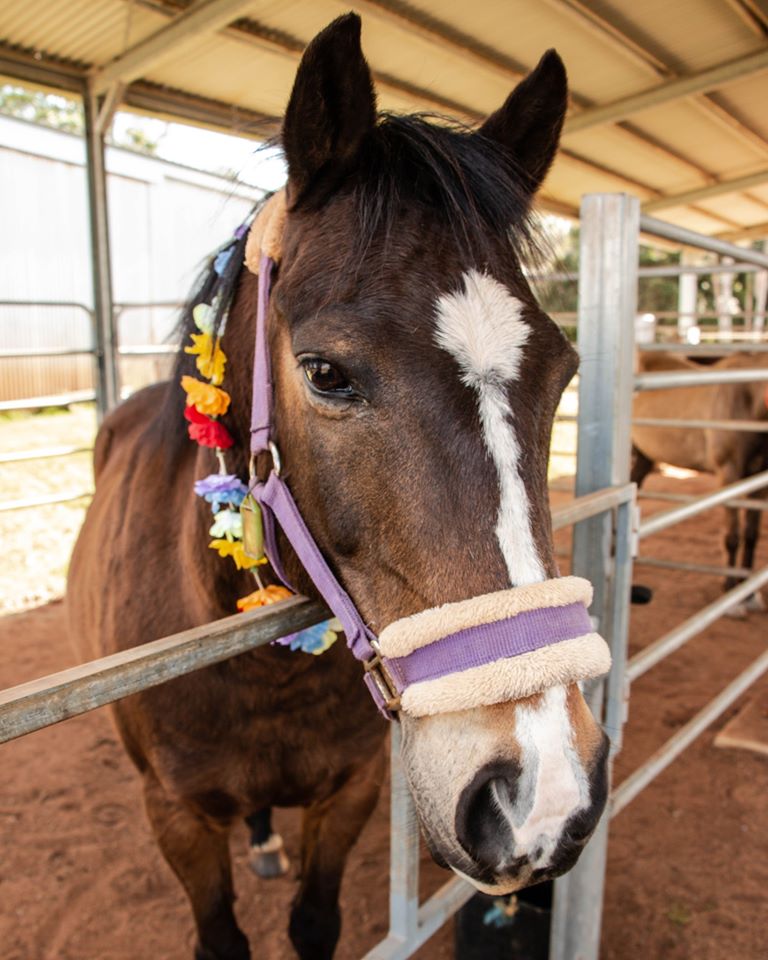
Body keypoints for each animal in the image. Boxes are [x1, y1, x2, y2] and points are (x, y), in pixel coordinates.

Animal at [69, 16, 612, 960]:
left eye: (564, 372)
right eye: (326, 373)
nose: (543, 796)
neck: (261, 678)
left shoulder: (351, 792)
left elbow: (314, 924)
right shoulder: (176, 818)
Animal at [632, 350, 764, 616]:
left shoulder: (759, 477)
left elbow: (751, 534)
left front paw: (749, 593)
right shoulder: (729, 473)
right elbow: (733, 535)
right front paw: (731, 593)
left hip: (644, 456)